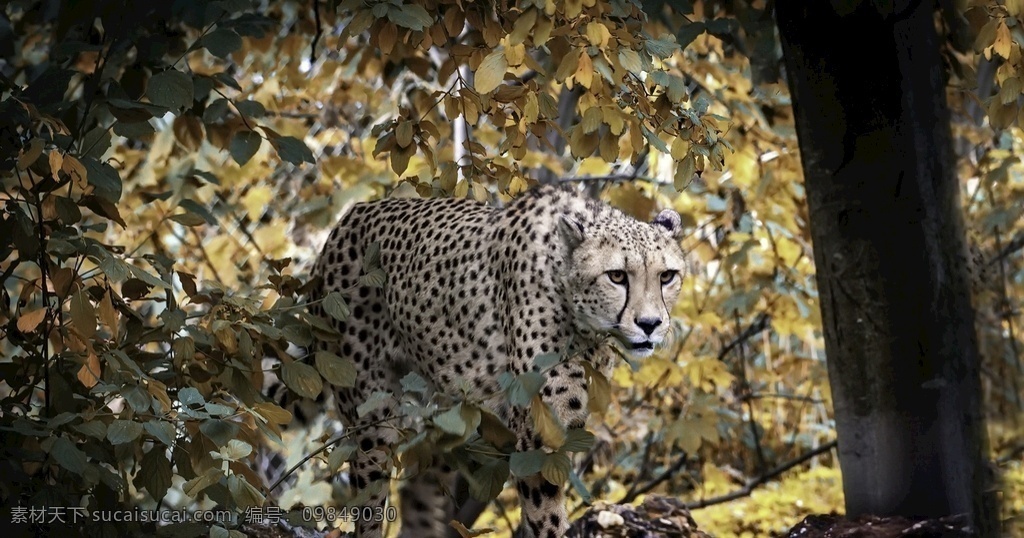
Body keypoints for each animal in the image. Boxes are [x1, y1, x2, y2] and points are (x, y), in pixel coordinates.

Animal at [307, 182, 684, 532]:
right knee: (368, 503)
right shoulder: (536, 439)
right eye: (616, 276)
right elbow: (547, 516)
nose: (650, 324)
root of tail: (351, 216)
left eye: (667, 276)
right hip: (372, 417)